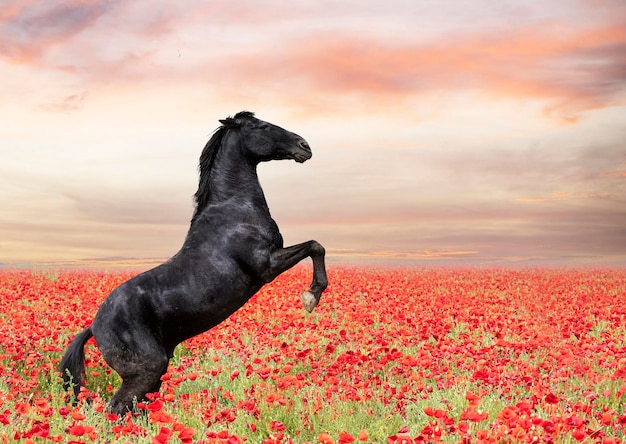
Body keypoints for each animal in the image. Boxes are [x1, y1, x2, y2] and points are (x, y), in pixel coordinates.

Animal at [58, 112, 326, 416]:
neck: (234, 209)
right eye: (263, 126)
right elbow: (315, 246)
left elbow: (316, 246)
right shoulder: (267, 264)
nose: (304, 146)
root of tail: (93, 326)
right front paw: (311, 297)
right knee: (115, 409)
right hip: (146, 370)